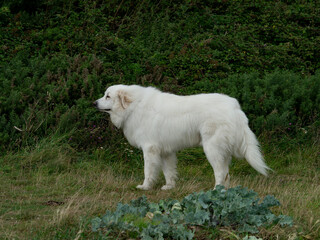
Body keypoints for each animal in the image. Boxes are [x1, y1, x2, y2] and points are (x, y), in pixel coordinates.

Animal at [93, 85, 270, 190]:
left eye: (108, 96)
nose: (94, 103)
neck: (134, 106)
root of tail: (234, 107)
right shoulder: (165, 151)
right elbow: (169, 171)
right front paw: (169, 187)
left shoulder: (150, 149)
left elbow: (148, 170)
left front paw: (145, 187)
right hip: (222, 151)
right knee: (226, 173)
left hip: (212, 149)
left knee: (220, 173)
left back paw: (215, 191)